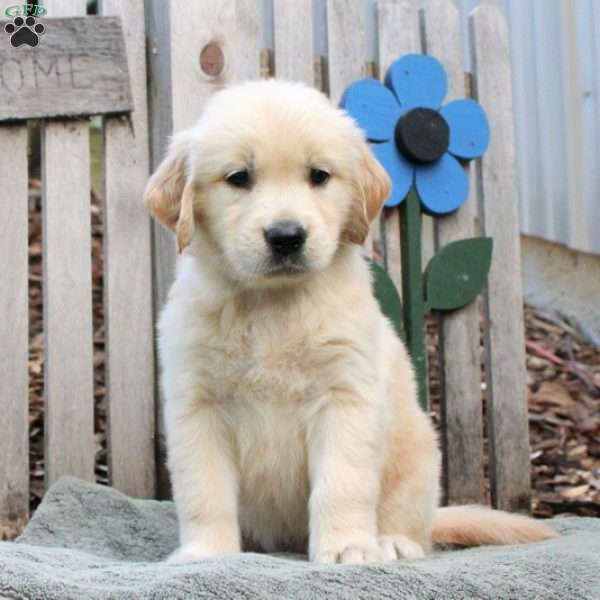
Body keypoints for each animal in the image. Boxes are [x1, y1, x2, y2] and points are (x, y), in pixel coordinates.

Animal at [146, 79, 556, 564]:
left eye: (319, 175)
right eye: (238, 178)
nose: (286, 237)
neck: (272, 305)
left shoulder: (345, 398)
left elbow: (340, 484)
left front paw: (345, 549)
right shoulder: (198, 406)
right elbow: (204, 491)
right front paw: (207, 553)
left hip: (417, 452)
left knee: (411, 522)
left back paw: (392, 542)